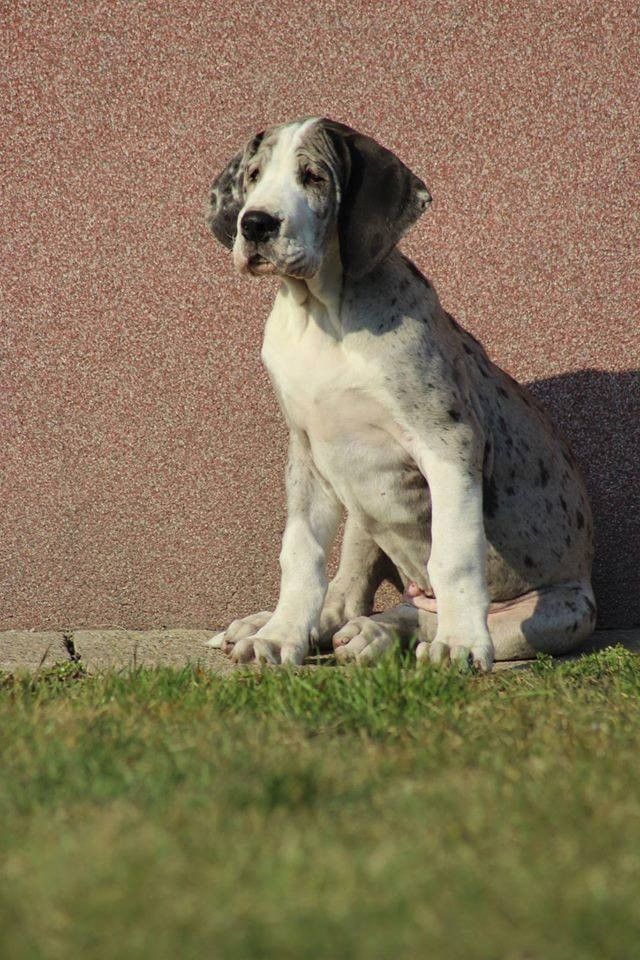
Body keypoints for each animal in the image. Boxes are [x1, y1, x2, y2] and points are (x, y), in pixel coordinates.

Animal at [205, 117, 596, 670]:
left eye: (313, 177)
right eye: (254, 176)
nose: (255, 224)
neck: (322, 315)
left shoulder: (449, 444)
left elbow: (454, 555)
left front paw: (459, 645)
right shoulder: (306, 455)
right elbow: (300, 555)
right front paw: (280, 636)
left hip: (561, 614)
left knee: (424, 613)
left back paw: (388, 634)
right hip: (361, 511)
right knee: (347, 595)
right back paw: (289, 625)